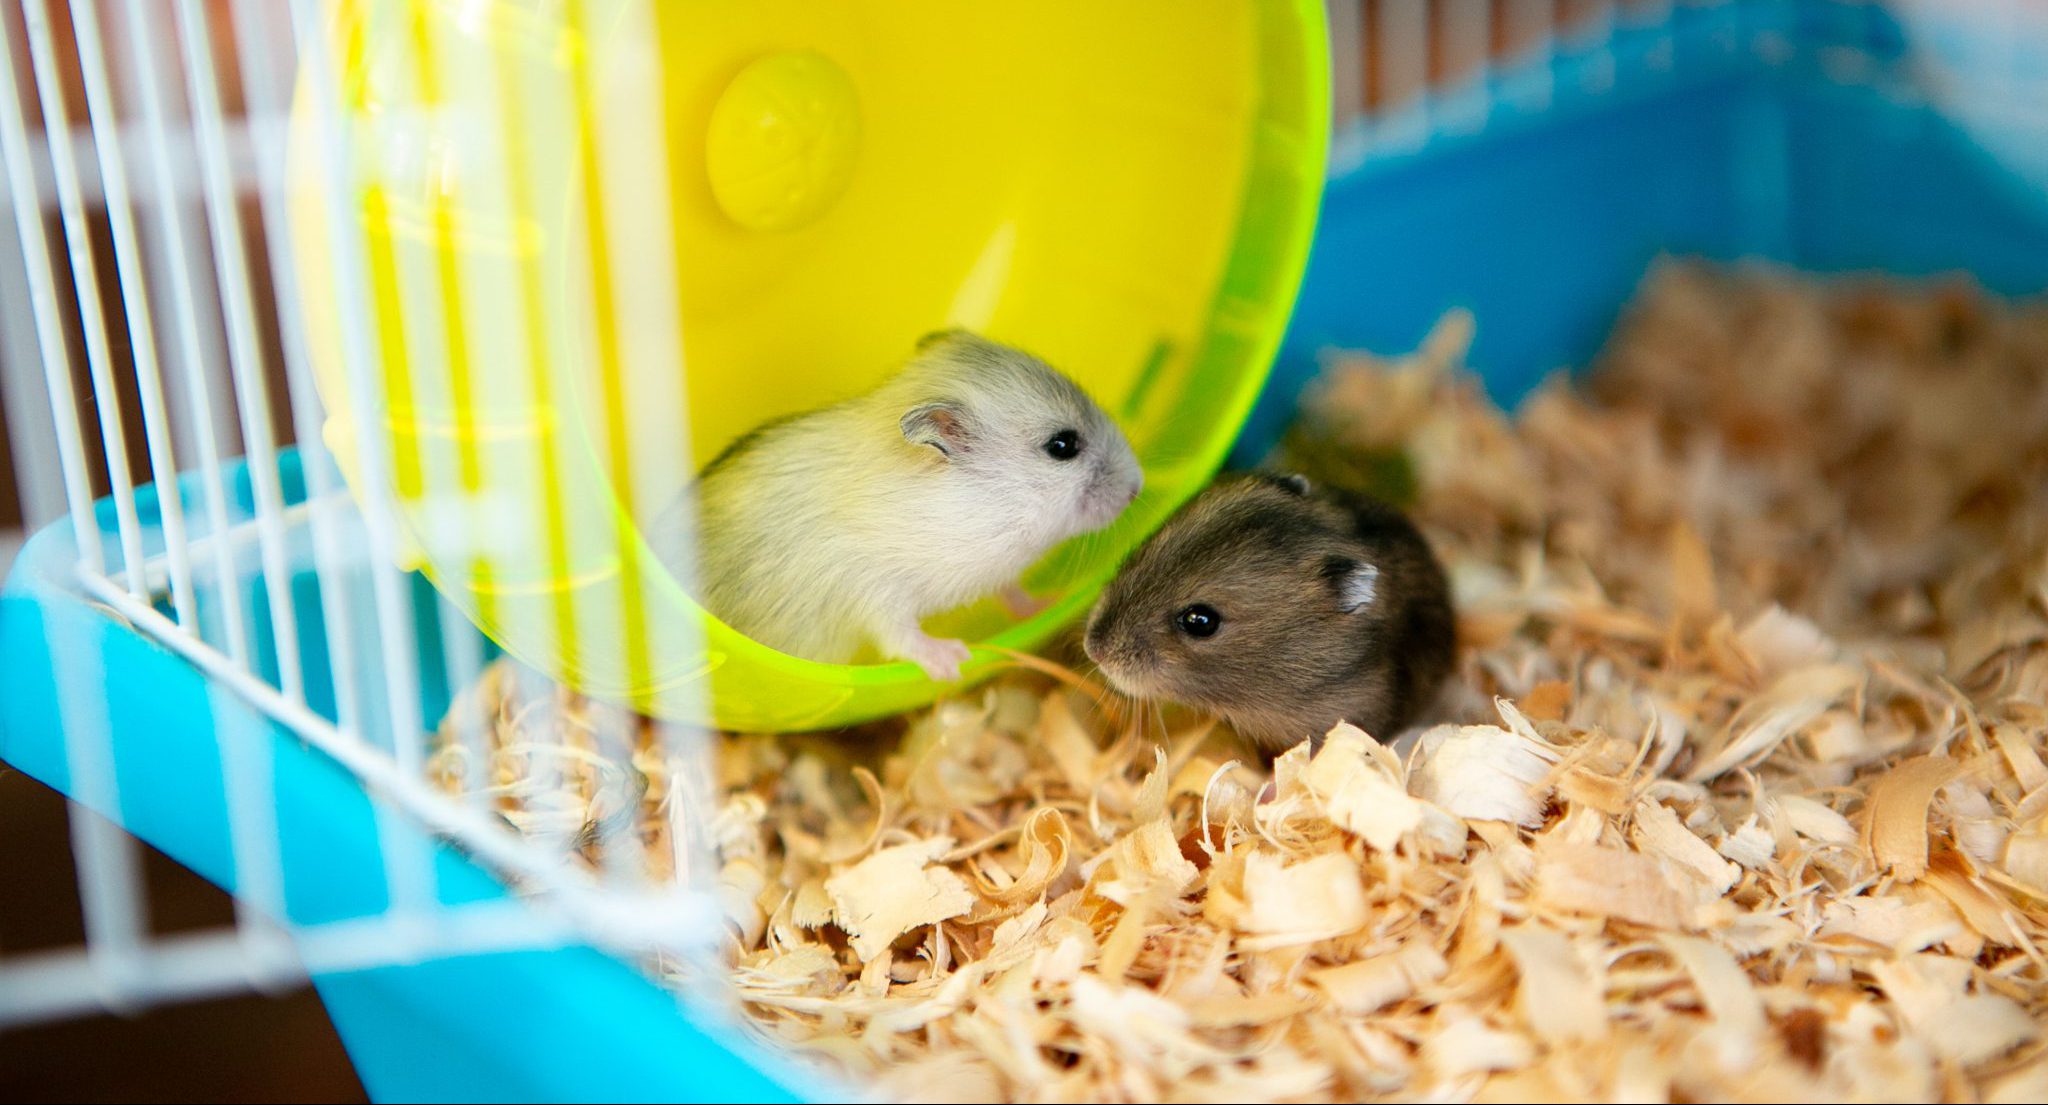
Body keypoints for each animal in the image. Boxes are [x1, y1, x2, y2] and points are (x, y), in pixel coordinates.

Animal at [652, 330, 1144, 681]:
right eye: (1062, 446)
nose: (1138, 487)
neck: (982, 506)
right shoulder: (875, 592)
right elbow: (903, 637)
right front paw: (951, 661)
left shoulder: (995, 569)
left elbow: (1014, 591)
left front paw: (1050, 601)